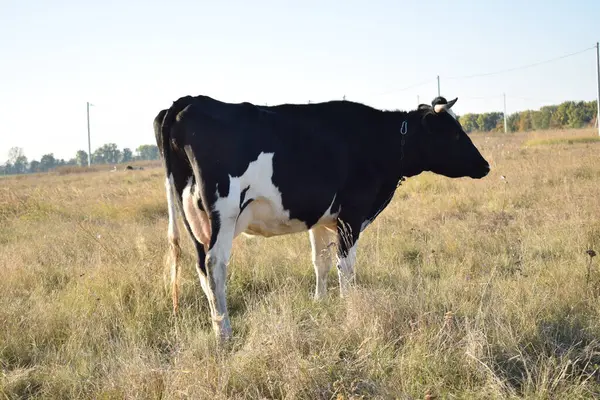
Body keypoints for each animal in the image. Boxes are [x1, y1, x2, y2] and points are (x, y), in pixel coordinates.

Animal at [152, 94, 490, 340]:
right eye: (454, 134)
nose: (485, 166)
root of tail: (189, 101)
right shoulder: (352, 216)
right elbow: (346, 267)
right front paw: (349, 306)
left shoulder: (322, 218)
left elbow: (321, 262)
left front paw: (320, 302)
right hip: (223, 212)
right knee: (215, 265)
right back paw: (225, 332)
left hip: (195, 218)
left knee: (201, 267)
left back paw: (215, 323)